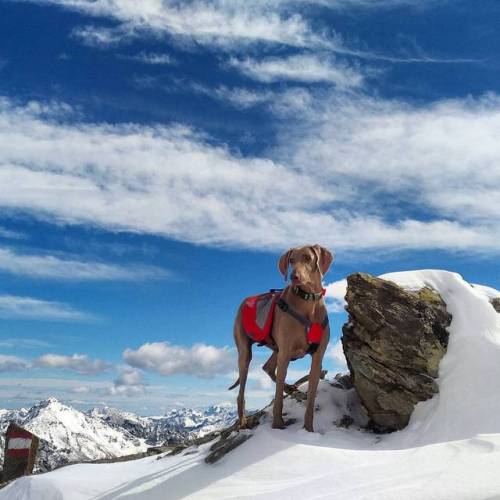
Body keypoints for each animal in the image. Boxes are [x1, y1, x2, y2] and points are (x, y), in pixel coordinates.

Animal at [229, 244, 332, 432]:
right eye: (291, 260)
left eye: (307, 258)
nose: (293, 277)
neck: (309, 302)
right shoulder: (285, 355)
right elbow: (277, 399)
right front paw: (277, 426)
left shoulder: (317, 357)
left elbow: (311, 399)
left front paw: (309, 429)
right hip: (246, 352)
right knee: (242, 392)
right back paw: (242, 420)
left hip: (278, 349)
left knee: (268, 367)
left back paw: (291, 388)